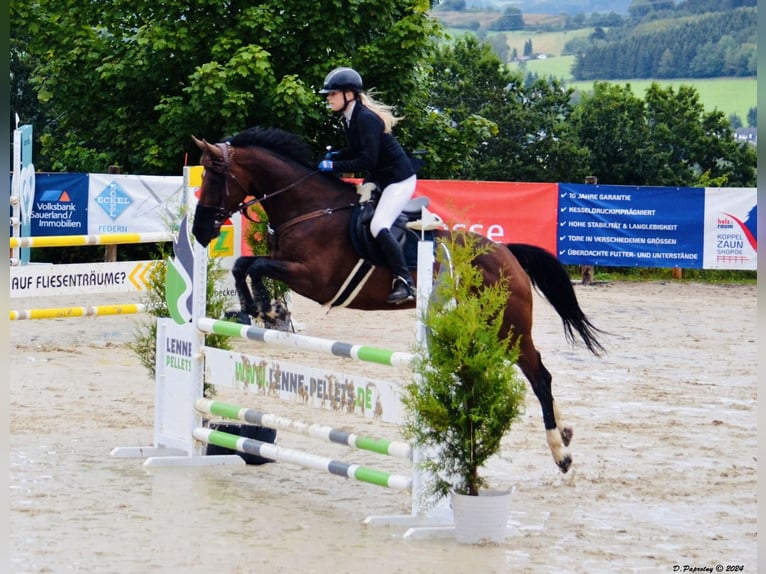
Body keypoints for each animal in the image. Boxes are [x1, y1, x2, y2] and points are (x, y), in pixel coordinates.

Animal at [190, 128, 608, 474]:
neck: (309, 208)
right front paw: (255, 308)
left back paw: (561, 454)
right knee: (536, 371)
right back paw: (565, 432)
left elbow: (258, 266)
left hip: (508, 327)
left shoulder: (315, 279)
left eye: (214, 179)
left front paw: (267, 308)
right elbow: (244, 265)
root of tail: (508, 254)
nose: (199, 231)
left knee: (540, 376)